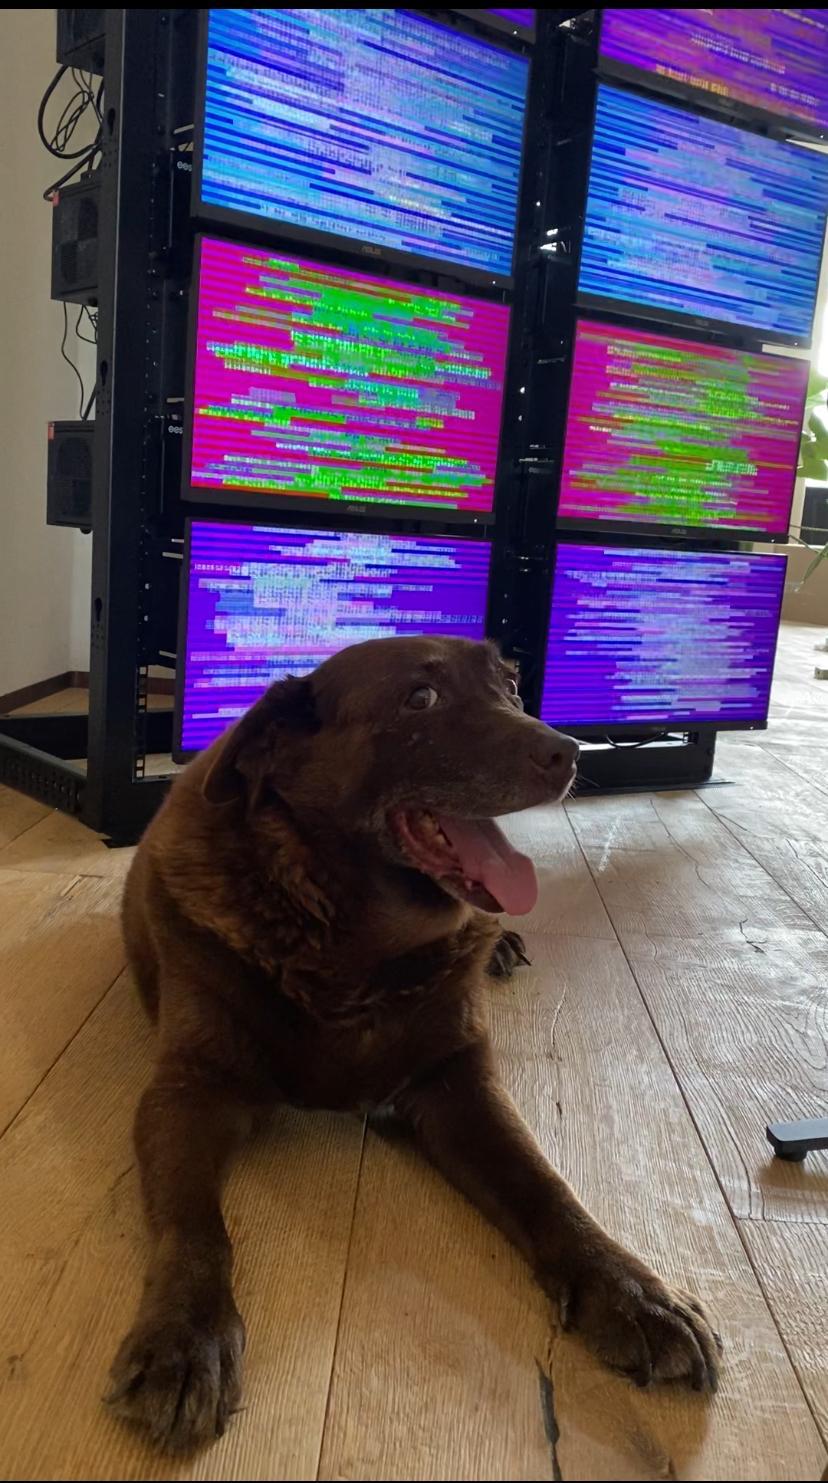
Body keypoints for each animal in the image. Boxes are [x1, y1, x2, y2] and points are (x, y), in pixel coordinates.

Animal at [108, 635, 721, 1449]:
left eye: (511, 687)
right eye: (420, 699)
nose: (565, 751)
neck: (352, 948)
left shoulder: (457, 1081)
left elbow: (545, 1184)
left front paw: (632, 1292)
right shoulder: (188, 1090)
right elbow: (194, 1223)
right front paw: (185, 1337)